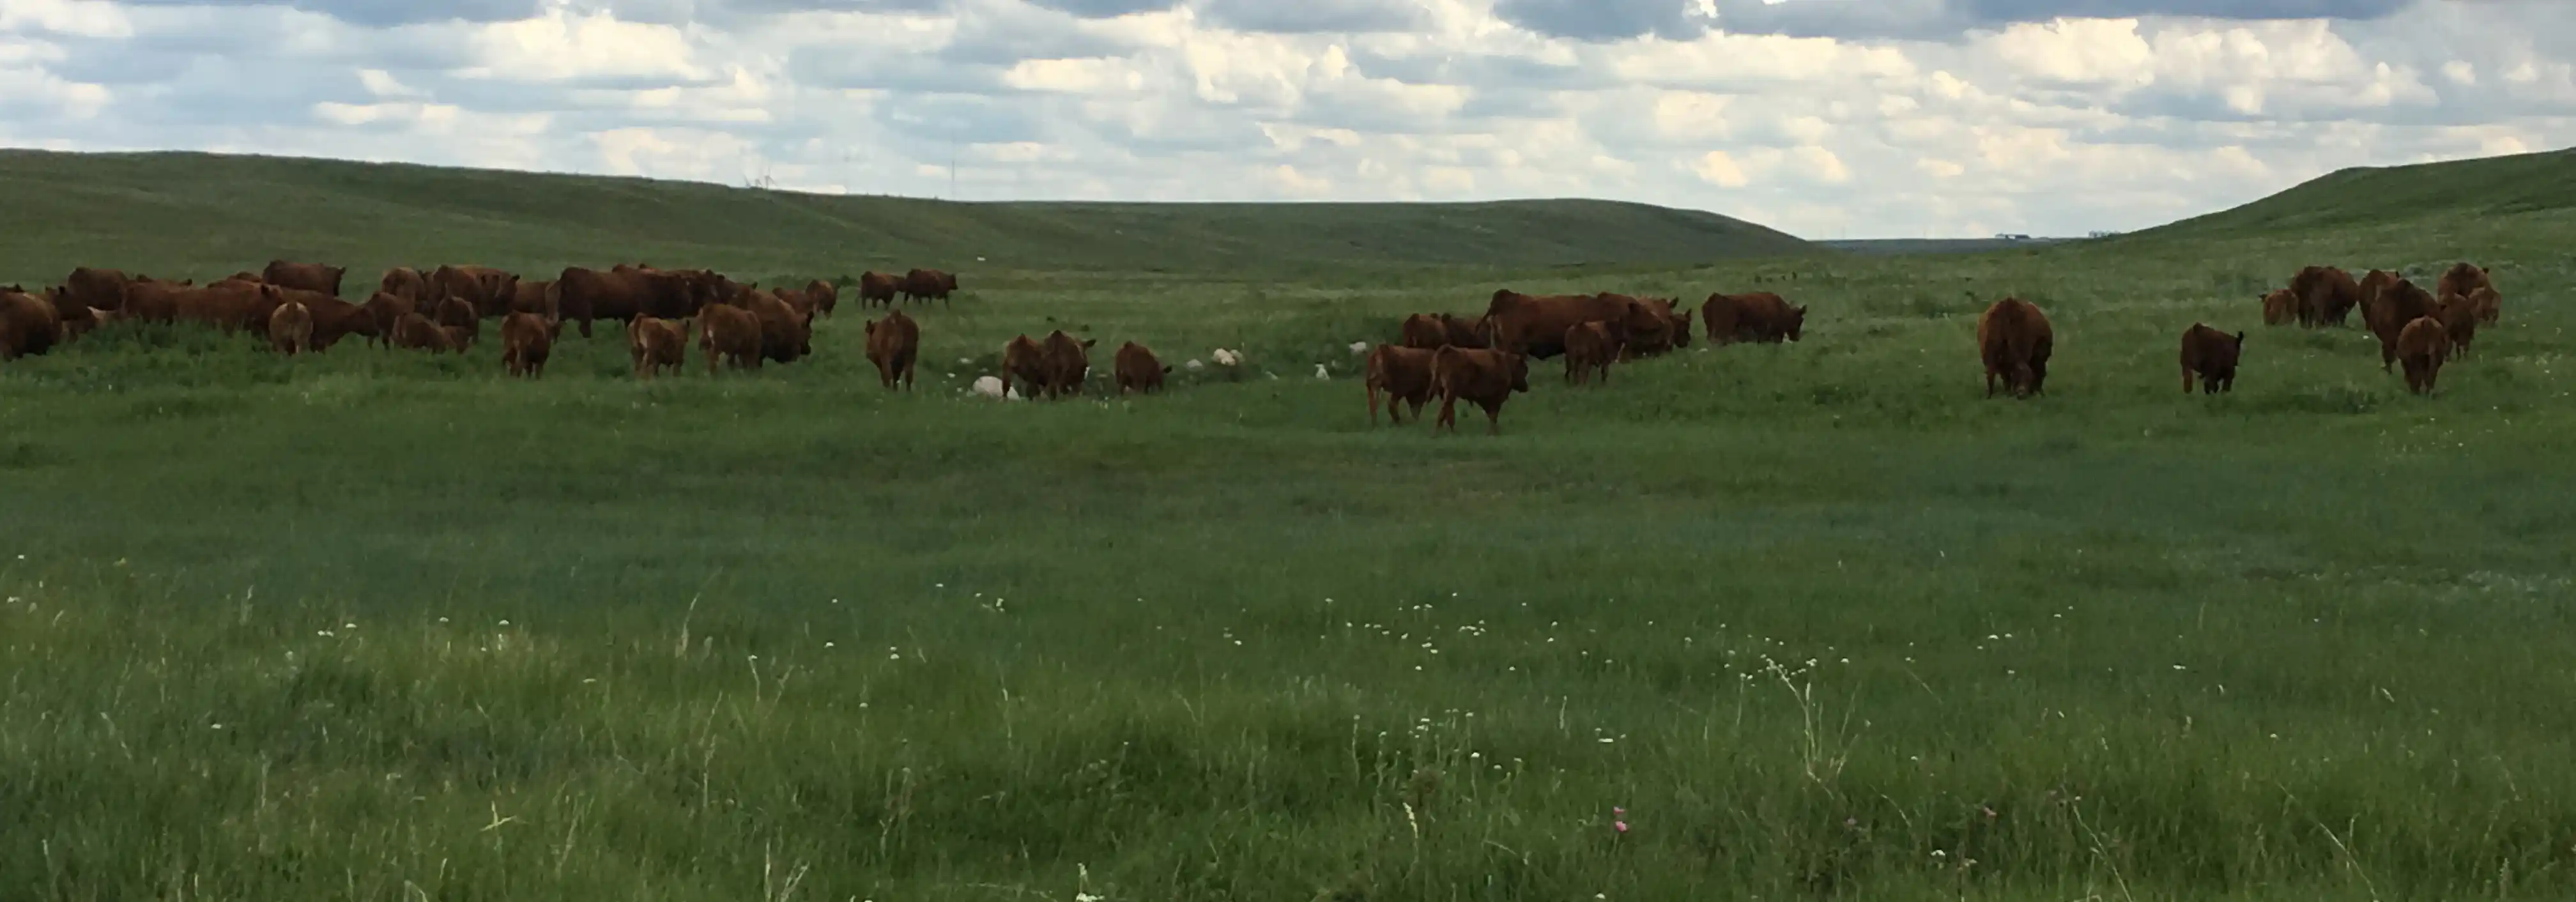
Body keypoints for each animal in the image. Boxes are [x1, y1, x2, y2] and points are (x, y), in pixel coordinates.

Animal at [1429, 346, 1531, 435]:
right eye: (1524, 370)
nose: (1526, 387)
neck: (1507, 365)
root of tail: (1446, 350)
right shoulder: (1496, 398)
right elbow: (1494, 415)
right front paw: (1493, 432)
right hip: (1451, 394)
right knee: (1446, 410)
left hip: (1446, 393)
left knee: (1446, 410)